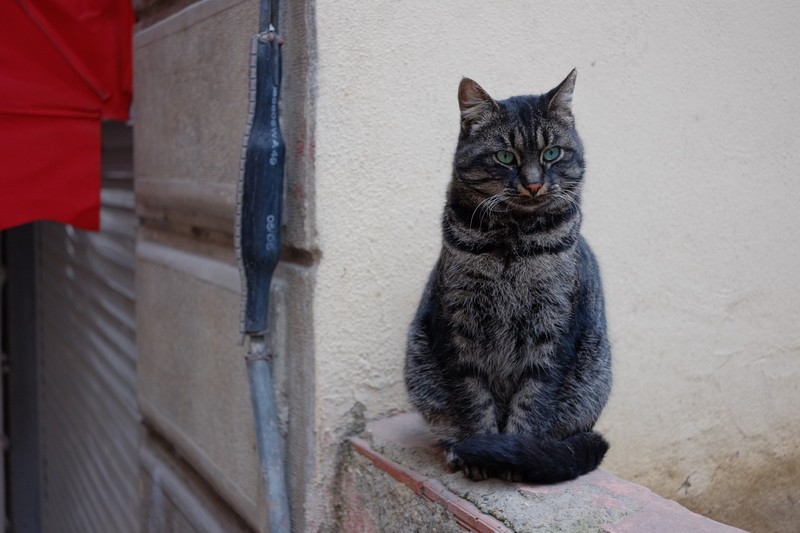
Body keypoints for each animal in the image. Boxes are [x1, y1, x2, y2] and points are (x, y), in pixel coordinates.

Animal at [406, 70, 612, 482]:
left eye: (552, 153)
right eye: (505, 156)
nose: (533, 183)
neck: (512, 242)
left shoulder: (552, 325)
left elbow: (534, 398)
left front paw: (513, 454)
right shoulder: (460, 322)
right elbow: (473, 397)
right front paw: (479, 450)